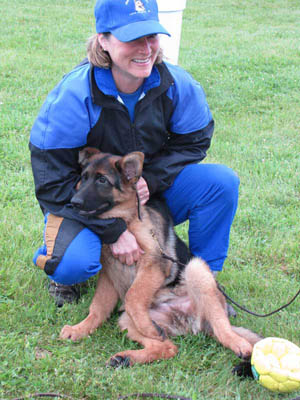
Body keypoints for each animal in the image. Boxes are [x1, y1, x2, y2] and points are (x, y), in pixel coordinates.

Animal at [59, 148, 262, 368]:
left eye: (102, 180)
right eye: (84, 178)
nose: (73, 202)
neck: (125, 222)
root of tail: (187, 320)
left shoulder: (154, 265)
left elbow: (133, 295)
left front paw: (145, 326)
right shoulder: (109, 276)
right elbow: (98, 307)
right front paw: (80, 329)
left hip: (197, 270)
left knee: (221, 326)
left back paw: (238, 344)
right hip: (126, 320)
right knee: (168, 347)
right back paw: (126, 357)